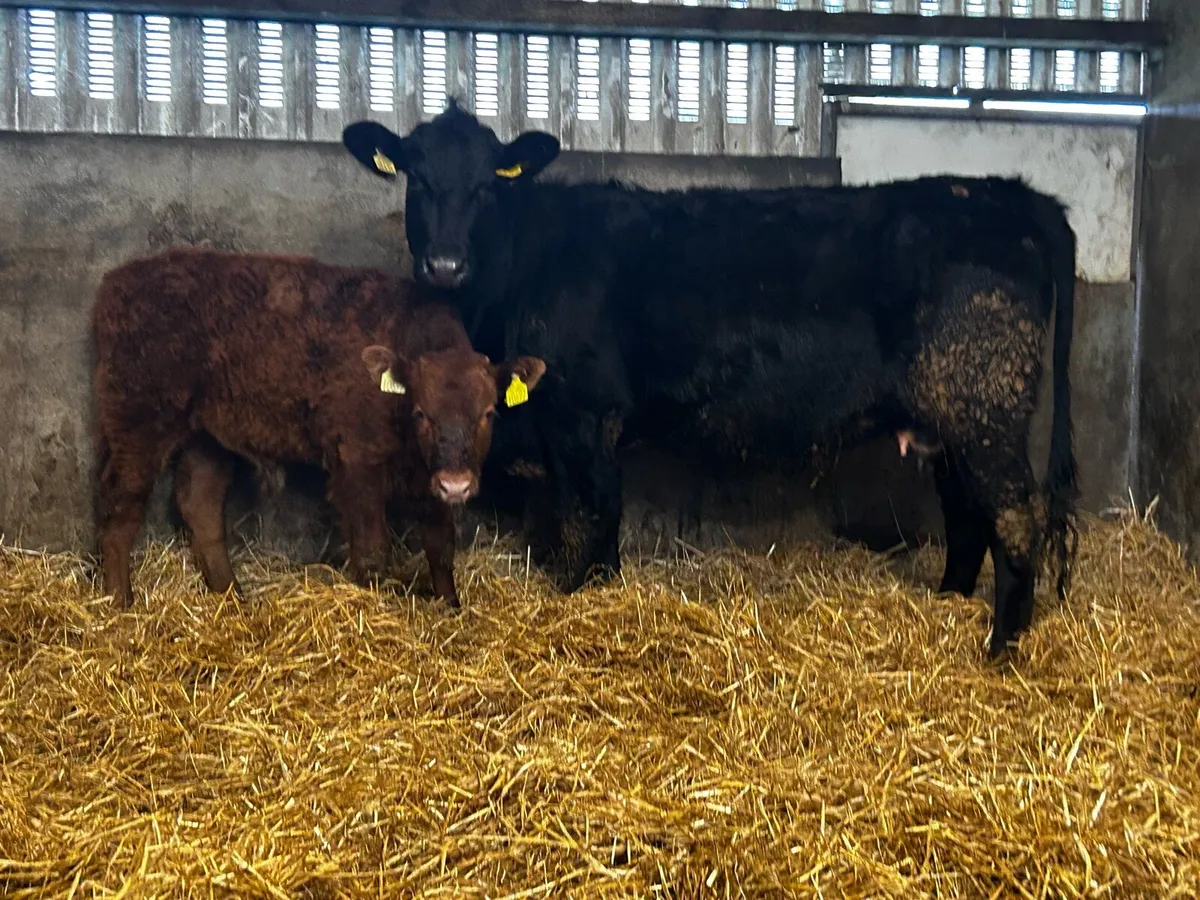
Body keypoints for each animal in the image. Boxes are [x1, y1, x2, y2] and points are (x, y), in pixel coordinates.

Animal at [91, 247, 545, 609]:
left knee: (198, 502)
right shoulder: (358, 464)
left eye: (488, 413)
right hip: (138, 424)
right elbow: (372, 549)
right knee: (121, 502)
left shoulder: (427, 479)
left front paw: (451, 606)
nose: (457, 483)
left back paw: (232, 596)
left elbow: (440, 545)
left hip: (208, 435)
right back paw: (120, 601)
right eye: (420, 413)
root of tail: (119, 280)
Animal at [340, 101, 1078, 659]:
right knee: (968, 517)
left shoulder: (582, 414)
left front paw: (581, 598)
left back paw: (1001, 650)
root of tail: (1009, 195)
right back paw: (951, 604)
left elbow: (591, 514)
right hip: (948, 418)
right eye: (415, 178)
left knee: (1016, 517)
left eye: (489, 184)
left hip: (985, 404)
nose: (444, 264)